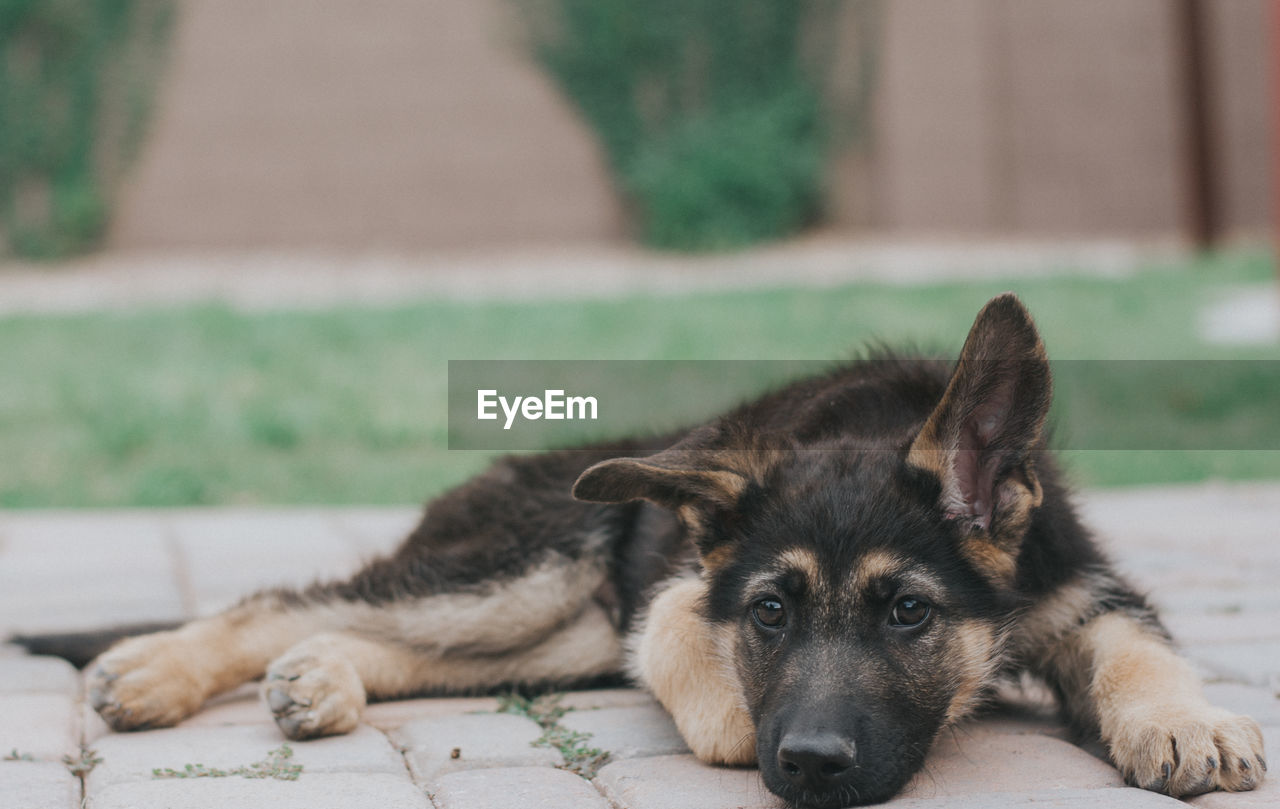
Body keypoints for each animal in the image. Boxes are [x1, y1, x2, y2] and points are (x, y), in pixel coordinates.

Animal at [82, 294, 1269, 803]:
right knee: (294, 598)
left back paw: (321, 678)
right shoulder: (670, 609)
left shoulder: (1078, 588)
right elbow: (726, 715)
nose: (813, 765)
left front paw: (1186, 722)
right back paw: (155, 669)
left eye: (908, 612)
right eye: (769, 612)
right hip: (529, 570)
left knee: (396, 642)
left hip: (560, 631)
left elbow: (1138, 649)